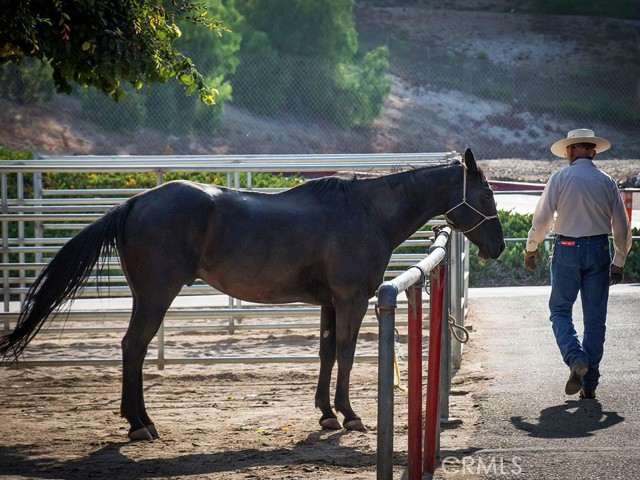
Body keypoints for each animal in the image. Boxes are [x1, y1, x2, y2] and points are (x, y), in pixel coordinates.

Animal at [0, 148, 504, 440]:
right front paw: (349, 415)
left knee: (132, 348)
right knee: (134, 347)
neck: (365, 211)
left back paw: (139, 421)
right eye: (487, 196)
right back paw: (141, 424)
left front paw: (326, 414)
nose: (498, 246)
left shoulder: (329, 303)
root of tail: (134, 203)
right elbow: (345, 353)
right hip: (156, 296)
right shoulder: (352, 299)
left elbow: (326, 354)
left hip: (148, 296)